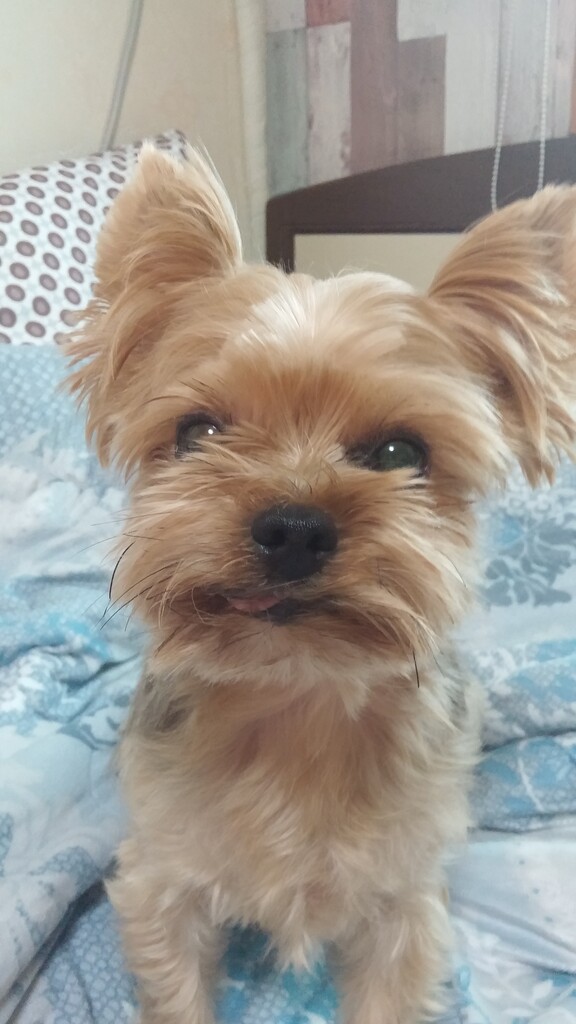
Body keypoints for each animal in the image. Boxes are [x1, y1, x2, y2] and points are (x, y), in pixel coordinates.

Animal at [67, 146, 576, 1024]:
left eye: (402, 453)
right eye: (197, 431)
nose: (293, 527)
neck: (295, 693)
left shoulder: (402, 902)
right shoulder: (163, 878)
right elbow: (175, 977)